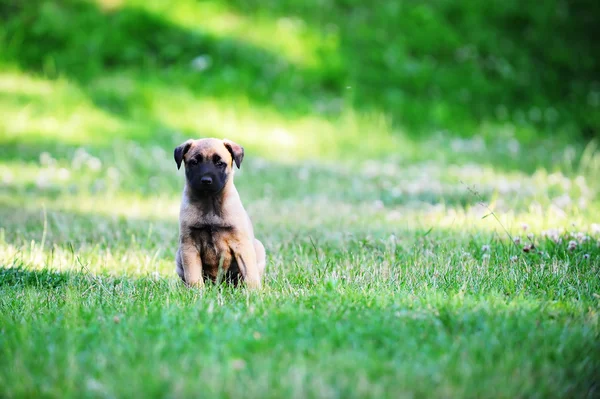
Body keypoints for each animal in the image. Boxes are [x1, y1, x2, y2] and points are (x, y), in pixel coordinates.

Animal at [175, 139, 266, 290]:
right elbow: (193, 273)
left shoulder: (241, 244)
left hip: (258, 247)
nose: (206, 180)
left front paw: (253, 291)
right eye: (194, 162)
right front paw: (196, 290)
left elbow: (249, 272)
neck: (210, 203)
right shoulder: (189, 246)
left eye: (219, 163)